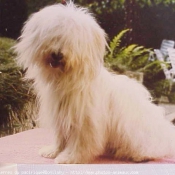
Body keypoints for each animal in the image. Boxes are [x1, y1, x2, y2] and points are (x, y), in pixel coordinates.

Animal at [14, 1, 175, 164]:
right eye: (54, 36)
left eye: (73, 40)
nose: (57, 55)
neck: (68, 79)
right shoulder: (62, 117)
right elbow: (60, 137)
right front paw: (54, 151)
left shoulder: (85, 121)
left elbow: (80, 142)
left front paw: (69, 157)